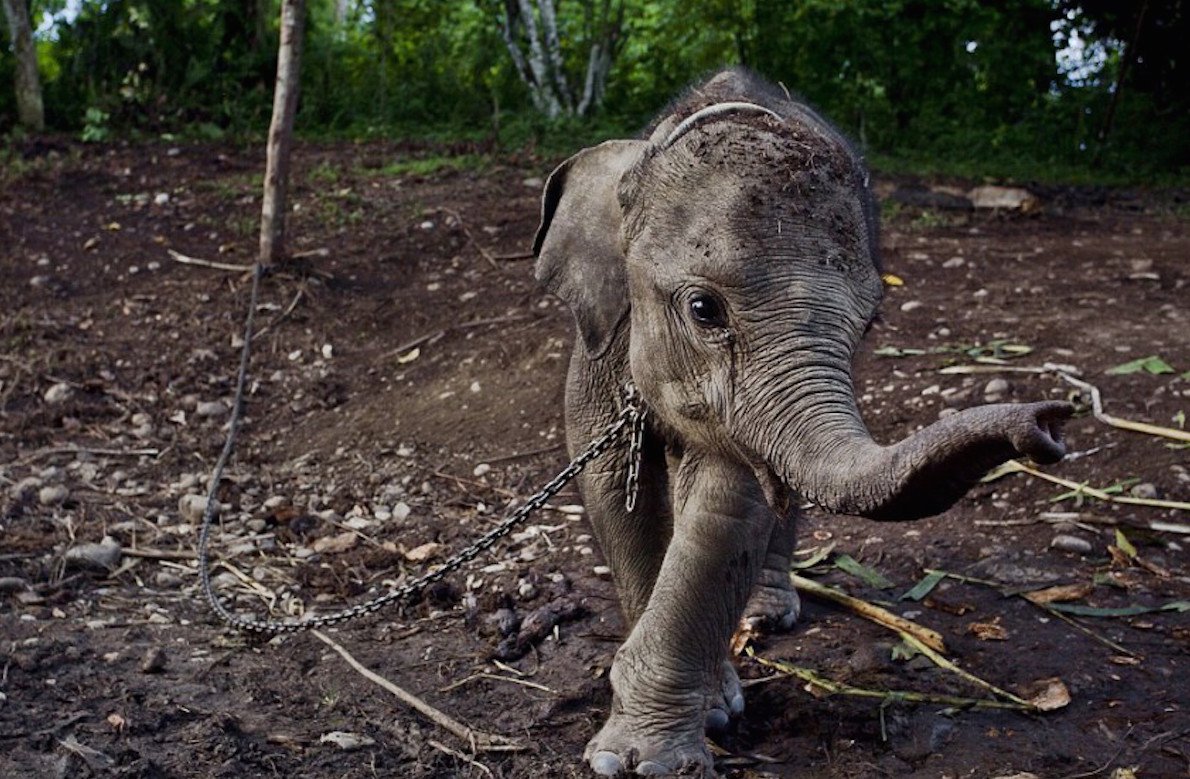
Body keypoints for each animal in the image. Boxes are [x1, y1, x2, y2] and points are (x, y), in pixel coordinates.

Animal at [532, 68, 1071, 777]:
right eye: (703, 309)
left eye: (870, 323)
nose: (1049, 423)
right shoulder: (599, 340)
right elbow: (610, 484)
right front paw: (660, 739)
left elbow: (731, 504)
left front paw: (658, 752)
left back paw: (765, 613)